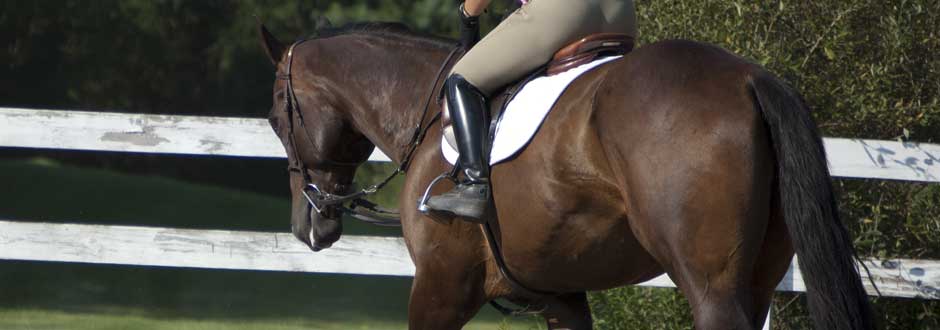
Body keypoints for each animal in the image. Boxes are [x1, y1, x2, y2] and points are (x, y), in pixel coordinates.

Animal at [258, 23, 872, 330]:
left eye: (275, 119)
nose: (308, 227)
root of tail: (749, 78)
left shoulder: (442, 283)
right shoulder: (559, 297)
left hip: (711, 284)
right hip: (759, 275)